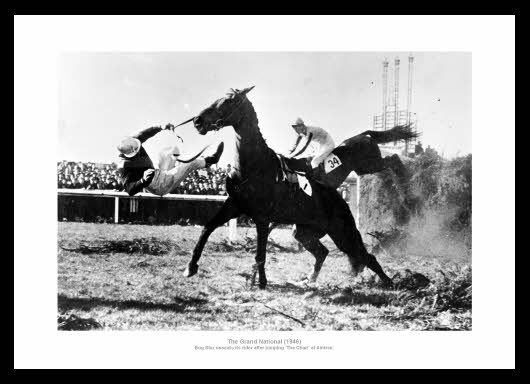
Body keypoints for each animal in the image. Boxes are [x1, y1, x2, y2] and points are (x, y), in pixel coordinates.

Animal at [182, 86, 392, 288]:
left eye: (228, 101)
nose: (198, 121)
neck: (253, 166)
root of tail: (339, 198)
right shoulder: (234, 205)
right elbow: (207, 227)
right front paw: (191, 266)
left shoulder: (262, 218)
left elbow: (260, 253)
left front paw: (261, 282)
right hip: (304, 232)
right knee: (323, 252)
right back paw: (309, 279)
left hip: (342, 232)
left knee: (366, 256)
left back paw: (388, 282)